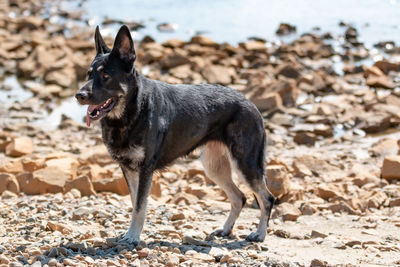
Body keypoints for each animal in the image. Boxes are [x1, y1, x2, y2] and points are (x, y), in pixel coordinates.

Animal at [75, 25, 276, 247]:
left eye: (106, 76)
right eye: (89, 74)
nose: (79, 96)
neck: (132, 110)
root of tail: (251, 104)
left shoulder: (145, 170)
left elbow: (139, 206)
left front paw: (133, 237)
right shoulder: (128, 168)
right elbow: (135, 203)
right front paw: (131, 233)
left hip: (245, 165)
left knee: (267, 198)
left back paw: (259, 234)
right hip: (214, 167)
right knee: (239, 197)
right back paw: (226, 229)